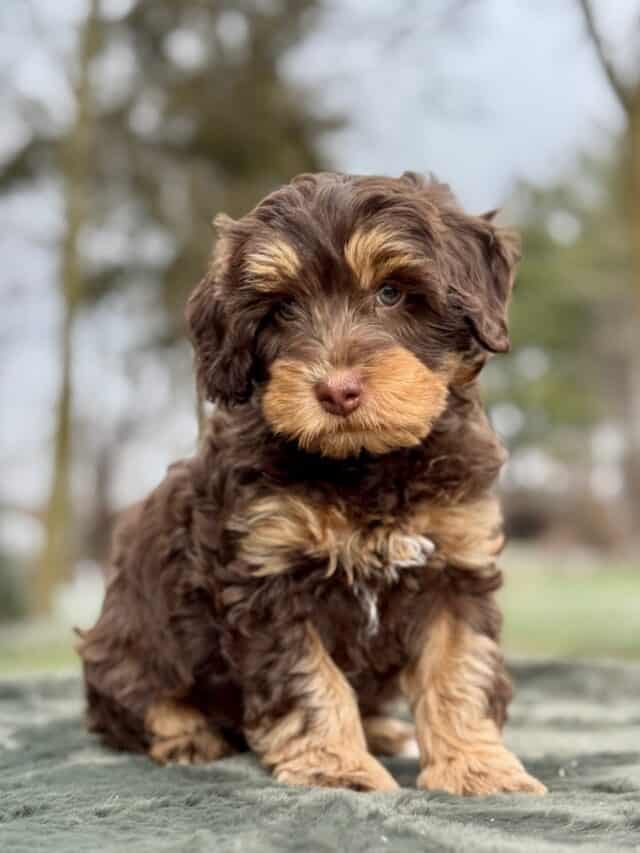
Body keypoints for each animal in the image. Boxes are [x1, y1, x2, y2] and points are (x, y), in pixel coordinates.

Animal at [76, 170, 544, 796]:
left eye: (391, 293)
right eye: (284, 310)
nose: (337, 391)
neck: (363, 464)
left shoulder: (454, 564)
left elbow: (459, 668)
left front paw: (477, 767)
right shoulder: (269, 575)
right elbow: (310, 679)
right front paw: (336, 769)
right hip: (125, 642)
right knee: (137, 698)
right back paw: (188, 736)